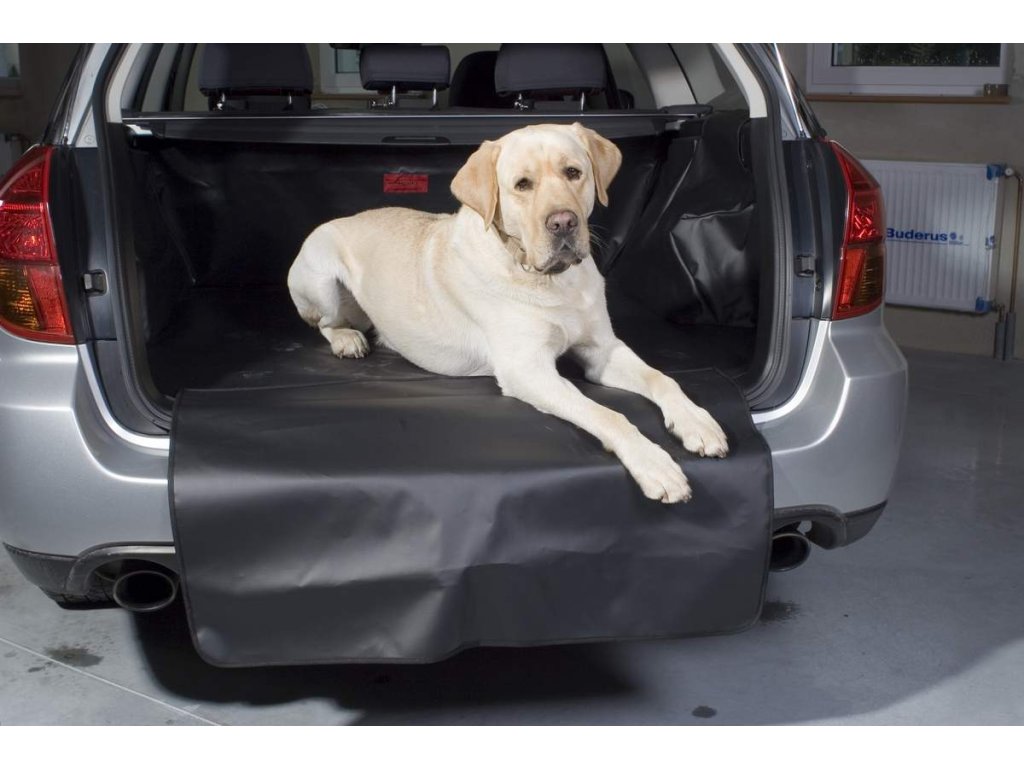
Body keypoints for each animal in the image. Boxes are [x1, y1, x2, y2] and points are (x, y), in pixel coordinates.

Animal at [287, 123, 728, 502]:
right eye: (522, 185)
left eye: (573, 173)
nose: (563, 222)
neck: (550, 281)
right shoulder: (528, 370)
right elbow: (607, 414)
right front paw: (654, 463)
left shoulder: (602, 350)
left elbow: (662, 378)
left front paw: (696, 421)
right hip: (321, 278)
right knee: (325, 323)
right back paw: (348, 339)